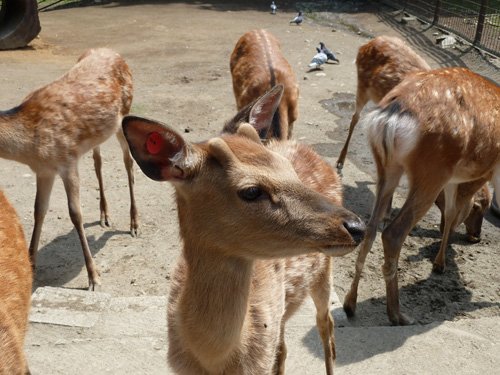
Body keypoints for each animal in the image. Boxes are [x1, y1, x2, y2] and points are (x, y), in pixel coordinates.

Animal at [0, 47, 137, 290]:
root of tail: (114, 52)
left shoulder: (67, 161)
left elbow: (75, 214)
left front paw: (94, 277)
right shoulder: (44, 170)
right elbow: (38, 210)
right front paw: (31, 266)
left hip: (125, 115)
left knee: (127, 161)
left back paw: (134, 224)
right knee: (97, 160)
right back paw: (104, 215)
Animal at [121, 86, 364, 375]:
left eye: (290, 170)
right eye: (251, 191)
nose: (356, 226)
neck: (214, 360)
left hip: (323, 272)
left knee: (326, 326)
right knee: (284, 346)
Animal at [344, 67, 500, 326]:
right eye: (482, 208)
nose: (476, 237)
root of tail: (390, 116)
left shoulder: (455, 179)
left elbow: (451, 213)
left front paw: (440, 262)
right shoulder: (479, 174)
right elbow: (457, 210)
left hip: (387, 167)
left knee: (370, 228)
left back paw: (350, 304)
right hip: (432, 169)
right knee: (393, 233)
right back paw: (398, 315)